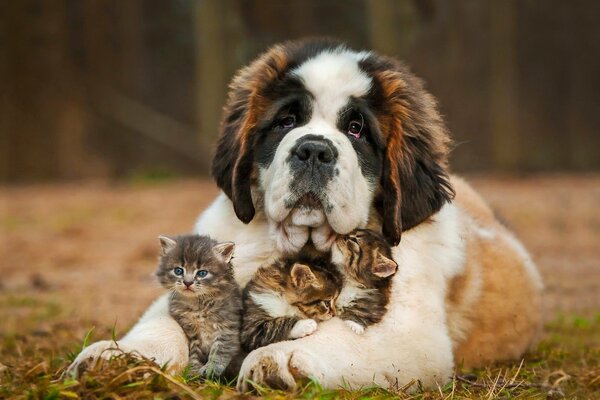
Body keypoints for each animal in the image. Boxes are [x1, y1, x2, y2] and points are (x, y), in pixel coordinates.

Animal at [156, 234, 243, 378]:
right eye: (178, 271)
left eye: (202, 273)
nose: (187, 282)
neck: (198, 304)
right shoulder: (192, 333)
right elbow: (194, 353)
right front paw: (192, 370)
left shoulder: (228, 328)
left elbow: (220, 350)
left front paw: (211, 368)